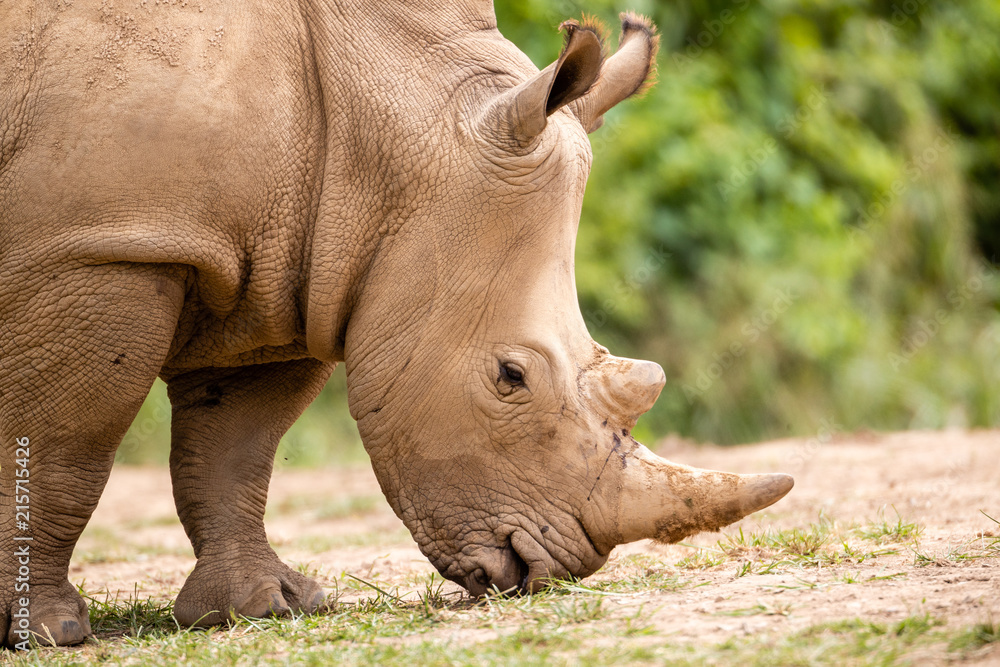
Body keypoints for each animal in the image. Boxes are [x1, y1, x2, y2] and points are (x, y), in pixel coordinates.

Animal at [0, 0, 793, 648]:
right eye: (510, 377)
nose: (547, 570)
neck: (392, 111)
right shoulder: (102, 246)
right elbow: (65, 444)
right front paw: (46, 631)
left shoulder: (294, 261)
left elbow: (232, 451)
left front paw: (266, 608)